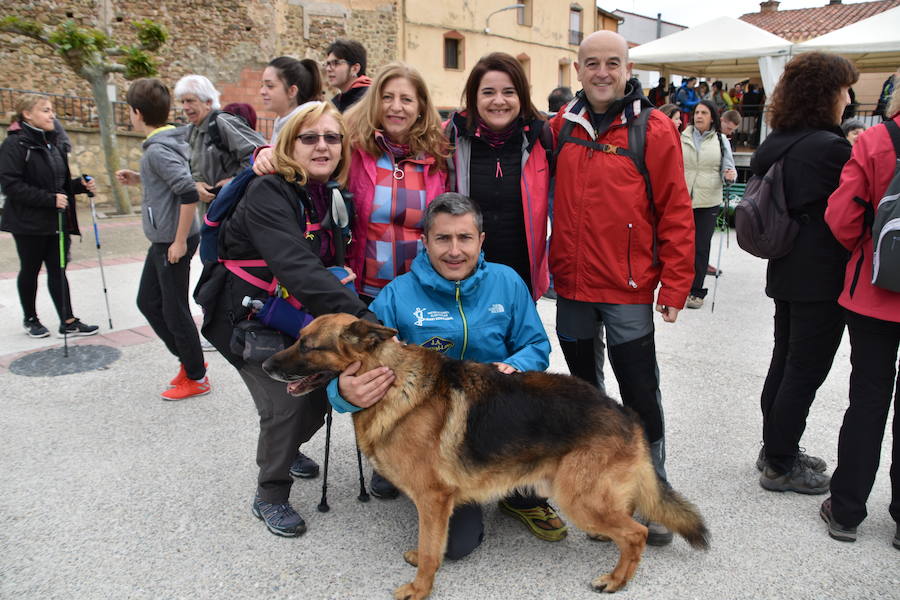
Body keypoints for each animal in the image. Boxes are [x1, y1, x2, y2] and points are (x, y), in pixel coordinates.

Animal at [262, 316, 712, 596]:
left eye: (308, 345)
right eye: (297, 338)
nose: (265, 364)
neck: (393, 383)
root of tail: (626, 415)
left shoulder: (433, 499)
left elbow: (432, 551)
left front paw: (420, 589)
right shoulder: (433, 507)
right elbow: (429, 542)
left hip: (577, 498)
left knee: (635, 534)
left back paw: (616, 580)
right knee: (624, 521)